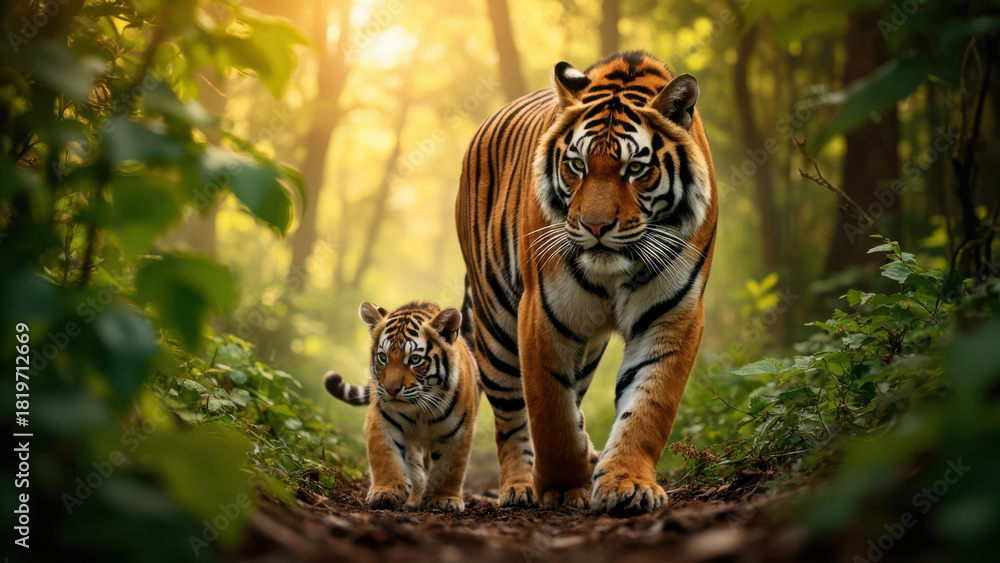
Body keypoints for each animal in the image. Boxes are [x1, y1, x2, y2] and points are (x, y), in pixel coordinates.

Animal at [323, 301, 479, 512]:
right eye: (383, 358)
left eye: (414, 359)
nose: (391, 390)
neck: (421, 410)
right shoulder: (382, 422)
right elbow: (386, 459)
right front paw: (385, 492)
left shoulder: (458, 432)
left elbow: (450, 468)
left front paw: (444, 499)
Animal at [455, 51, 717, 515]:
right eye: (577, 165)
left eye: (636, 168)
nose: (596, 227)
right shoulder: (543, 311)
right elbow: (550, 412)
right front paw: (561, 487)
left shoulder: (673, 314)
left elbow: (648, 405)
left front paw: (627, 483)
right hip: (495, 324)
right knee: (510, 417)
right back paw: (519, 486)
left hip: (588, 346)